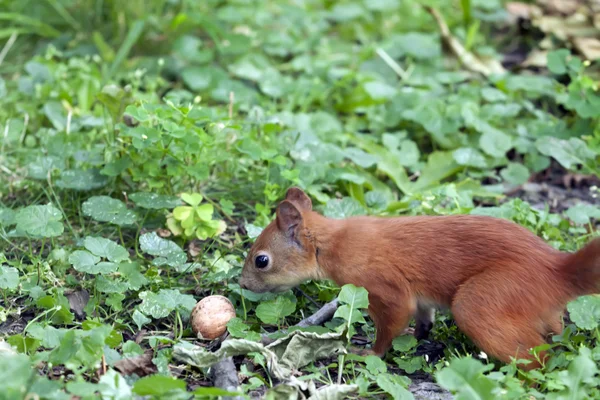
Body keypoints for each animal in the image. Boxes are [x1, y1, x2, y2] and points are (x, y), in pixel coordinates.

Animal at [239, 188, 600, 368]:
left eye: (261, 260)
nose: (242, 285)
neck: (333, 244)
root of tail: (556, 270)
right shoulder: (420, 297)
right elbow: (424, 318)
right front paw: (418, 336)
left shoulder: (384, 286)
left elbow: (392, 322)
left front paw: (369, 353)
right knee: (552, 332)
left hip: (483, 301)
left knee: (538, 357)